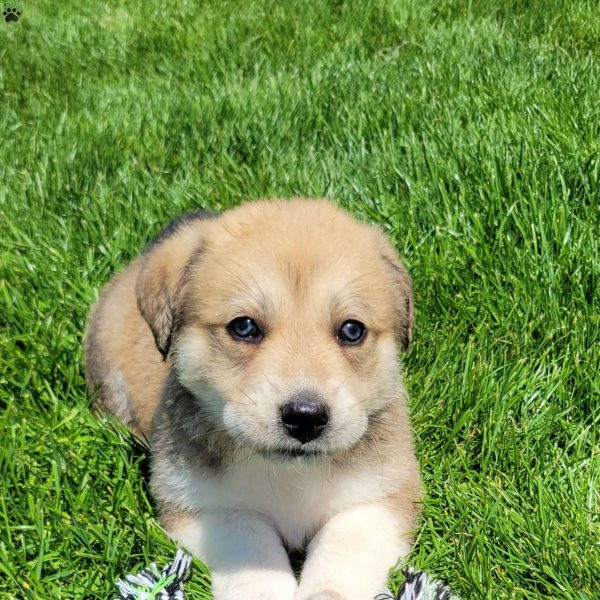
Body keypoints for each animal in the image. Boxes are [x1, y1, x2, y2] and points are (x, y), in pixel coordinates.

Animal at [83, 199, 422, 596]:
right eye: (243, 326)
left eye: (352, 330)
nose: (305, 417)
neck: (288, 476)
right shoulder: (204, 507)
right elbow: (253, 549)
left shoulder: (380, 498)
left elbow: (343, 552)